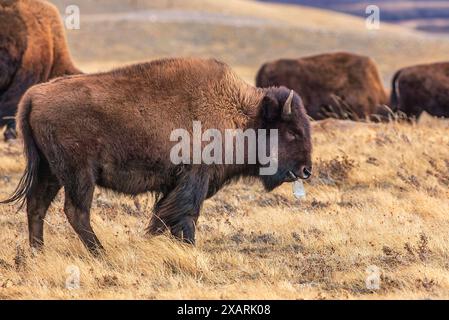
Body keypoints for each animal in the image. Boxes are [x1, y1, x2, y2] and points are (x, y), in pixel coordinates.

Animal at [2, 58, 312, 255]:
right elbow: (185, 216)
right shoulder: (194, 178)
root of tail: (33, 96)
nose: (307, 170)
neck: (242, 114)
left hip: (51, 171)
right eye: (292, 131)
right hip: (79, 175)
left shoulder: (176, 185)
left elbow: (166, 217)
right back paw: (100, 253)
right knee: (75, 212)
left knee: (37, 206)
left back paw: (38, 252)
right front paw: (189, 248)